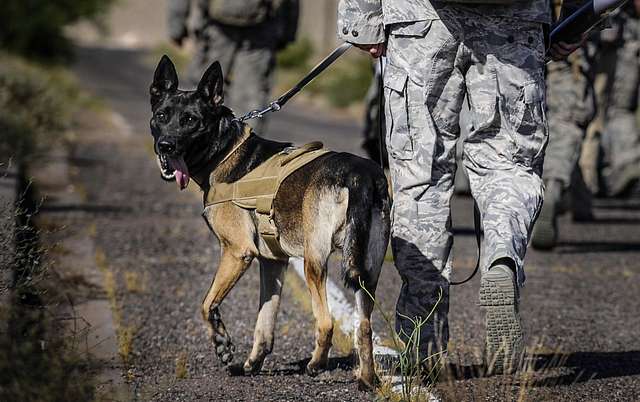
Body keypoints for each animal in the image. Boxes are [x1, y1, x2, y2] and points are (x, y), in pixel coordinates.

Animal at [150, 56, 390, 390]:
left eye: (190, 120)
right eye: (162, 115)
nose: (166, 146)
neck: (225, 149)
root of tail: (360, 176)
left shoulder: (237, 252)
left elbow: (207, 303)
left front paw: (223, 346)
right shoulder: (273, 262)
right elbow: (265, 322)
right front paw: (252, 363)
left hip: (314, 263)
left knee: (326, 321)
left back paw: (316, 364)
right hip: (368, 272)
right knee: (363, 326)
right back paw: (366, 379)